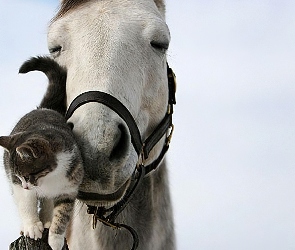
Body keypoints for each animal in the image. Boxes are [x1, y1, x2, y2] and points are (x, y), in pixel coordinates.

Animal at [0, 56, 84, 250]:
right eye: (20, 176)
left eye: (28, 175)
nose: (25, 185)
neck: (49, 177)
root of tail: (43, 109)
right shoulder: (17, 183)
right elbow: (26, 203)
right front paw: (31, 226)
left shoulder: (70, 186)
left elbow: (62, 213)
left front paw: (55, 238)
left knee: (47, 202)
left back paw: (47, 221)